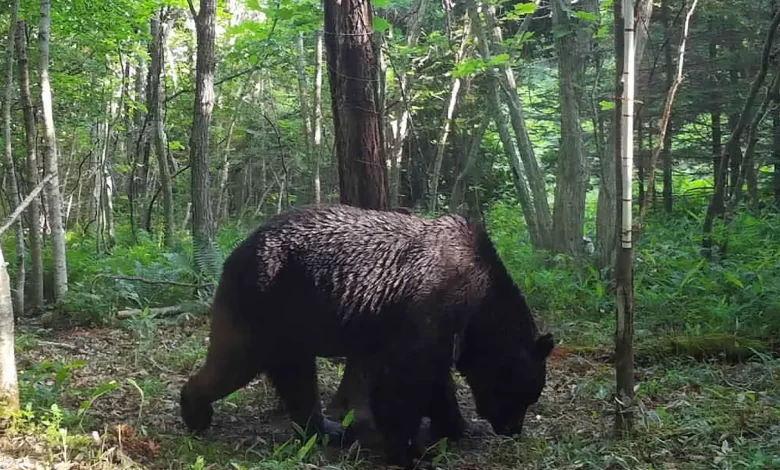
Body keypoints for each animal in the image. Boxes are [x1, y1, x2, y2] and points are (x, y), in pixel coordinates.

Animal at [180, 204, 552, 468]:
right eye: (524, 395)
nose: (512, 429)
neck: (478, 304)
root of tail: (235, 252)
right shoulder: (428, 308)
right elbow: (402, 382)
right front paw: (410, 452)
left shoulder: (439, 333)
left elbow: (436, 382)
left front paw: (460, 427)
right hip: (269, 303)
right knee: (239, 362)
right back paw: (195, 411)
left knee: (292, 377)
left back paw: (326, 429)